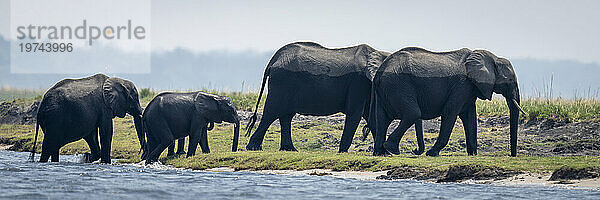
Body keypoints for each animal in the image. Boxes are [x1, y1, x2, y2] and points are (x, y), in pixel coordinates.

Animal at [246, 41, 410, 152]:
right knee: (271, 112)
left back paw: (289, 149)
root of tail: (274, 59)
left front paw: (384, 153)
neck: (377, 53)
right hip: (282, 82)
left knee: (286, 115)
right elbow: (355, 114)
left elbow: (371, 117)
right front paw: (343, 152)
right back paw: (253, 148)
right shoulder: (358, 83)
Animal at [370, 47, 524, 157]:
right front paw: (432, 153)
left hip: (386, 90)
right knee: (413, 113)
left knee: (382, 119)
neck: (492, 58)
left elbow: (469, 116)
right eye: (509, 80)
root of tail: (380, 71)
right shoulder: (461, 86)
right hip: (398, 85)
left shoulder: (470, 88)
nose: (512, 156)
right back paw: (391, 150)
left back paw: (381, 153)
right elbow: (450, 112)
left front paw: (472, 153)